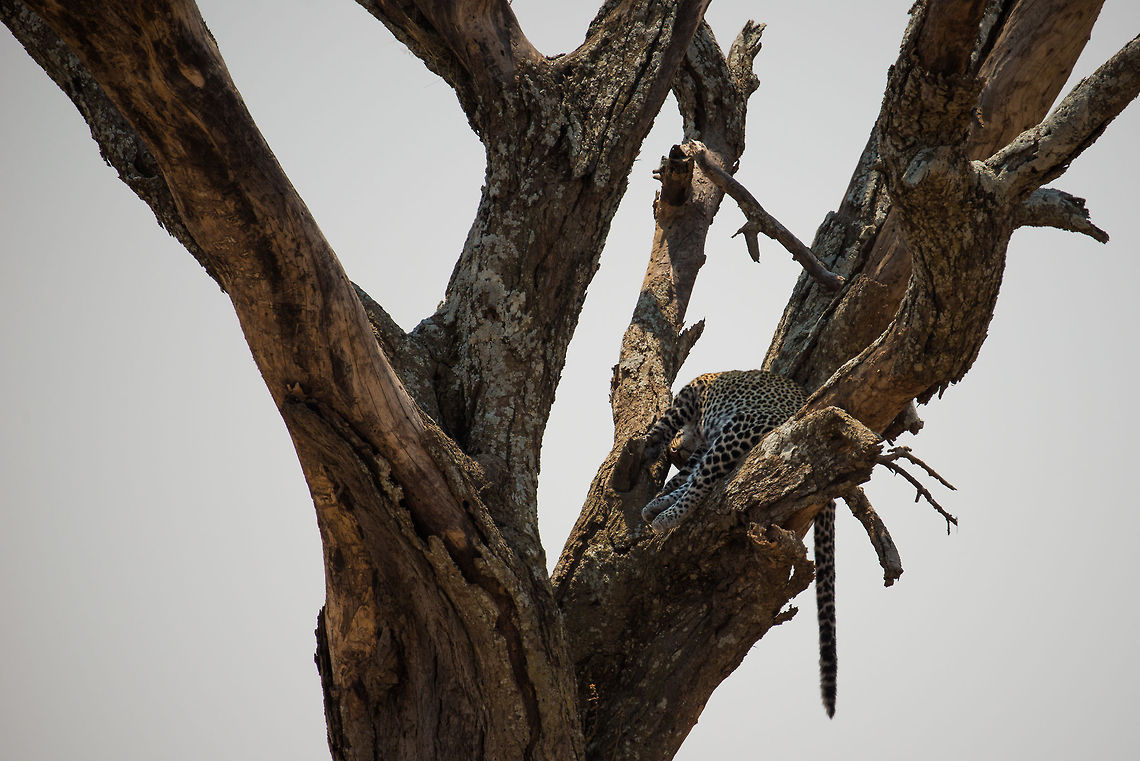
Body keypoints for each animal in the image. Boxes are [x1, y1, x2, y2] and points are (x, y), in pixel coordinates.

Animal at [640, 369, 839, 717]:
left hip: (741, 427)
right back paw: (660, 508)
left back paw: (669, 515)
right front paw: (661, 491)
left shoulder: (693, 394)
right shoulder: (700, 444)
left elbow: (668, 424)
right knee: (700, 478)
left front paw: (648, 446)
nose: (681, 445)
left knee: (702, 484)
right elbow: (684, 473)